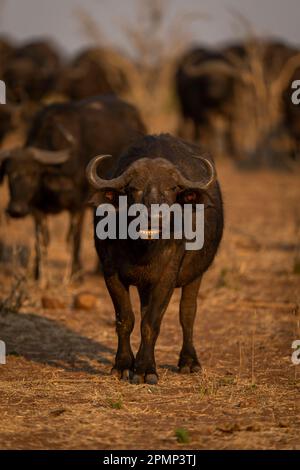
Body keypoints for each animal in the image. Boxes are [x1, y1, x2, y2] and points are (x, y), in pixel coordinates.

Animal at [86, 132, 223, 382]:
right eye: (133, 188)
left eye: (171, 188)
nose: (152, 217)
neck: (142, 250)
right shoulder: (111, 274)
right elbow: (126, 320)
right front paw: (124, 365)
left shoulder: (166, 278)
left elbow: (152, 323)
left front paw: (145, 369)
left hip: (195, 275)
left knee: (187, 314)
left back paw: (189, 362)